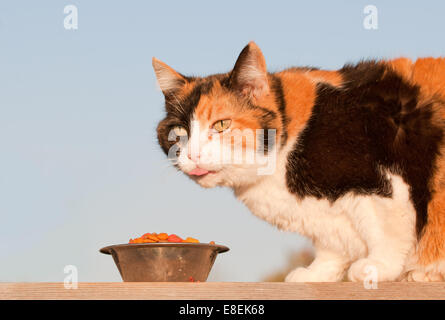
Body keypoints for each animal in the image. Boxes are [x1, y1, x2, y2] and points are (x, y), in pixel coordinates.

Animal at [153, 40, 444, 282]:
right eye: (179, 132)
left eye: (221, 124)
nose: (193, 155)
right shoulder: (328, 218)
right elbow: (331, 244)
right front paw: (318, 274)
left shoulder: (379, 180)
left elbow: (387, 229)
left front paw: (378, 267)